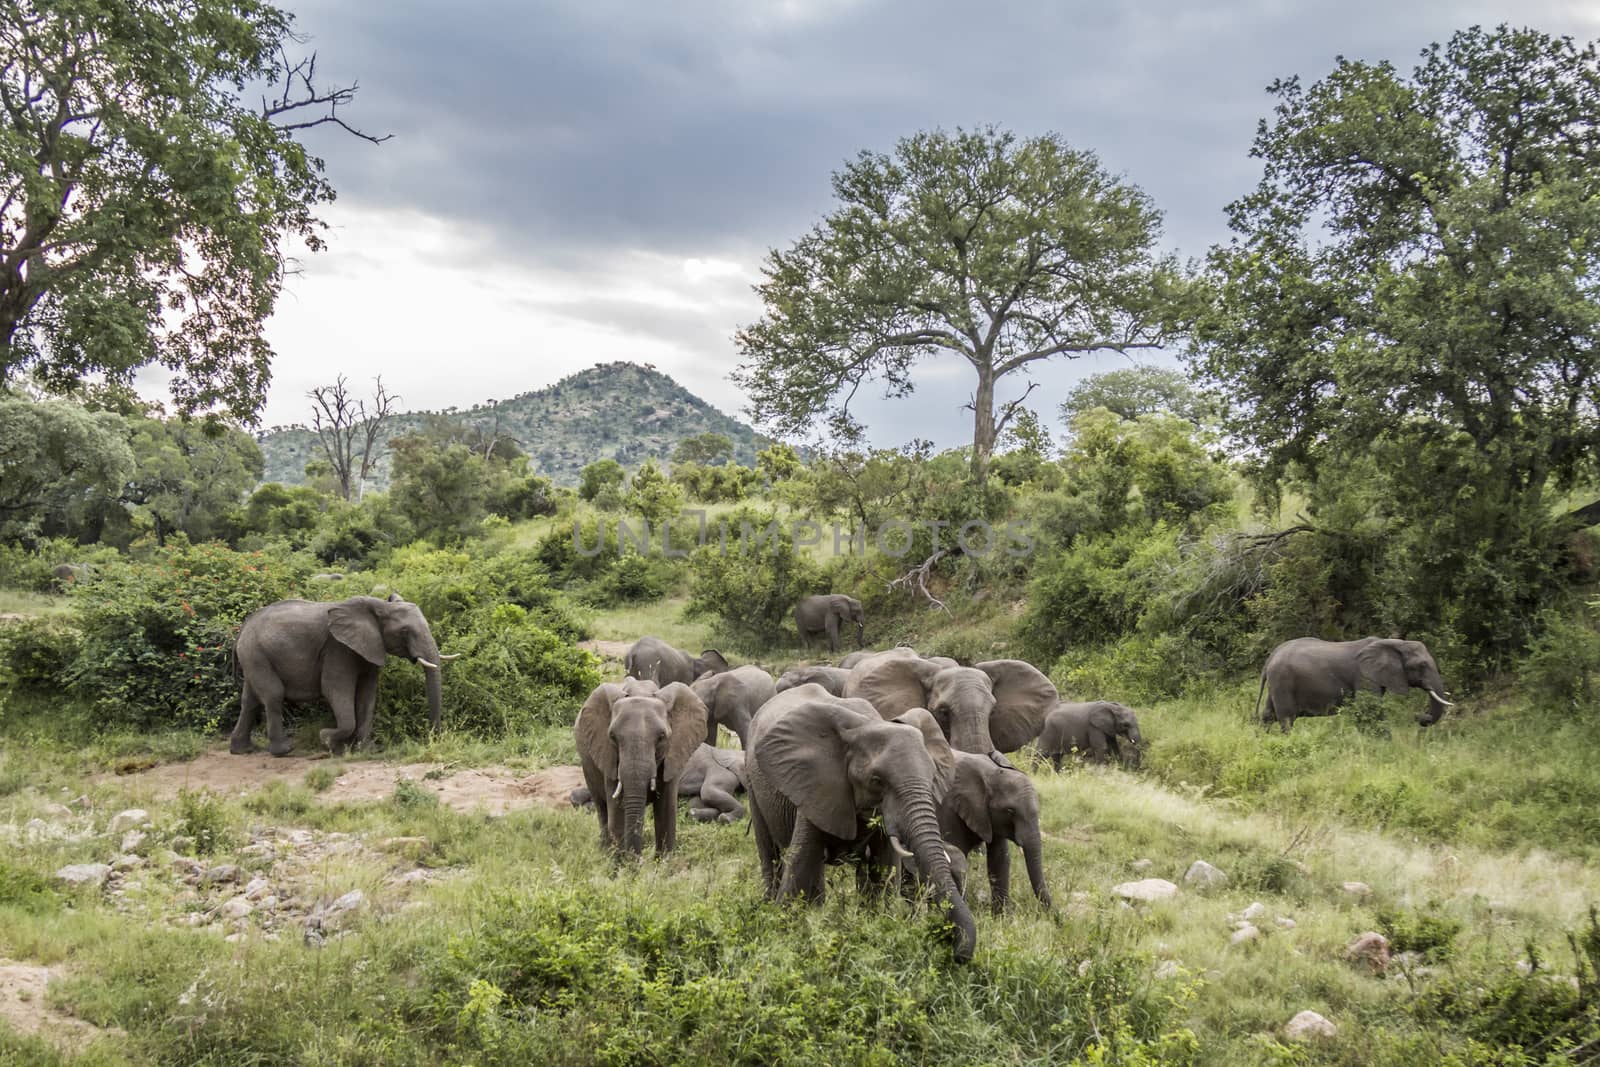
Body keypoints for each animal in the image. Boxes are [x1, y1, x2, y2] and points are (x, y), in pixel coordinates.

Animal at [230, 591, 451, 758]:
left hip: (252, 655)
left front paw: (366, 750)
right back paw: (284, 751)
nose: (433, 739)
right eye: (404, 631)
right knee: (273, 695)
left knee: (250, 700)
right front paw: (327, 740)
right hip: (256, 653)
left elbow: (367, 694)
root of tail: (243, 628)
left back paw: (242, 750)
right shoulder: (338, 648)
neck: (378, 606)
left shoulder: (369, 647)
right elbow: (335, 689)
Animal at [572, 675, 704, 857]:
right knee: (602, 808)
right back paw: (604, 853)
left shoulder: (674, 752)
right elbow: (617, 813)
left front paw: (663, 863)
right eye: (612, 737)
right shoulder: (608, 756)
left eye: (662, 737)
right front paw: (623, 864)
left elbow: (666, 812)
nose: (637, 858)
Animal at [742, 684, 979, 966]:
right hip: (753, 782)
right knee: (771, 853)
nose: (955, 954)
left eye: (933, 779)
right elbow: (800, 865)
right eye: (877, 781)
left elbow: (884, 870)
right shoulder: (816, 784)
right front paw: (783, 929)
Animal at [1254, 633, 1459, 735]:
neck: (1395, 643)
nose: (1420, 717)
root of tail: (1270, 658)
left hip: (1277, 683)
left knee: (1268, 715)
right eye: (1422, 665)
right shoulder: (1364, 676)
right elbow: (1369, 710)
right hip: (1283, 681)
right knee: (1286, 719)